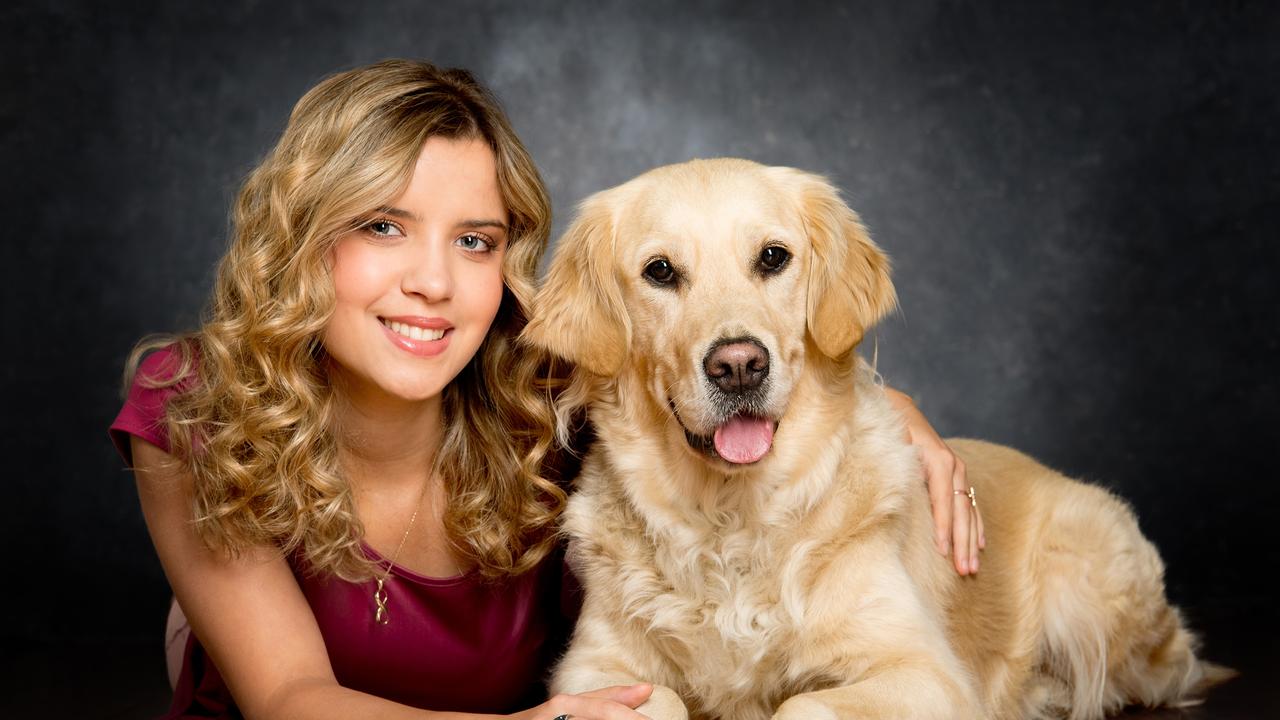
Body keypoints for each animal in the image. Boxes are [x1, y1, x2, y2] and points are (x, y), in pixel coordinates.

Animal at [519, 158, 1228, 717]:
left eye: (772, 257)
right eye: (660, 271)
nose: (740, 365)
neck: (730, 520)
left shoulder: (926, 672)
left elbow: (803, 704)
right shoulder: (590, 671)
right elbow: (655, 699)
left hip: (1087, 577)